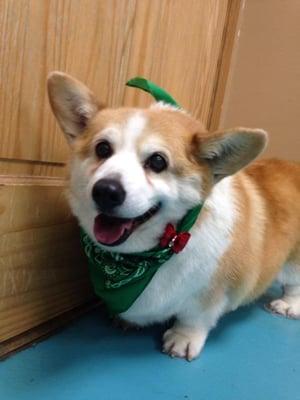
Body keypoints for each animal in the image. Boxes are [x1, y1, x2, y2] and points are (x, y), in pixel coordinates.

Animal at [48, 70, 300, 360]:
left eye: (158, 161)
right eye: (102, 149)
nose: (105, 191)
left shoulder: (212, 293)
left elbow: (195, 318)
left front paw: (183, 339)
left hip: (294, 261)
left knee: (294, 283)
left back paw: (288, 305)